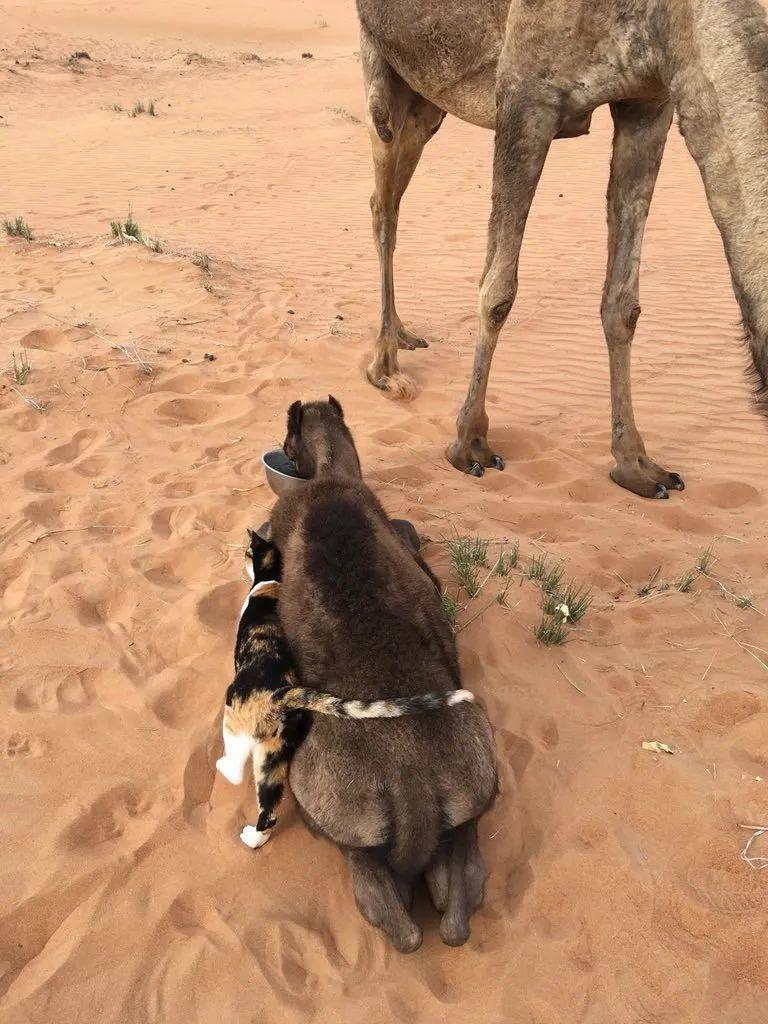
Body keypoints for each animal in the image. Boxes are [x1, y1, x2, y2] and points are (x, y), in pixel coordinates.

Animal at [214, 528, 473, 847]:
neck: (273, 579)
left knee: (237, 768)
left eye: (248, 553)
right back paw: (254, 838)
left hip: (236, 720)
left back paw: (224, 768)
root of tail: (282, 695)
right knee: (268, 808)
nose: (241, 561)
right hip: (273, 755)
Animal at [270, 397, 499, 950]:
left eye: (287, 439)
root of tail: (410, 779)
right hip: (473, 794)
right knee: (457, 894)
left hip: (331, 815)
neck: (331, 471)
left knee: (388, 908)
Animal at [358, 0, 768, 495]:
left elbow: (622, 305)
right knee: (383, 200)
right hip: (383, 70)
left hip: (429, 101)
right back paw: (384, 366)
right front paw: (469, 442)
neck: (674, 19)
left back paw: (401, 333)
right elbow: (497, 291)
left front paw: (634, 462)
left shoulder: (649, 101)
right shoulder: (526, 96)